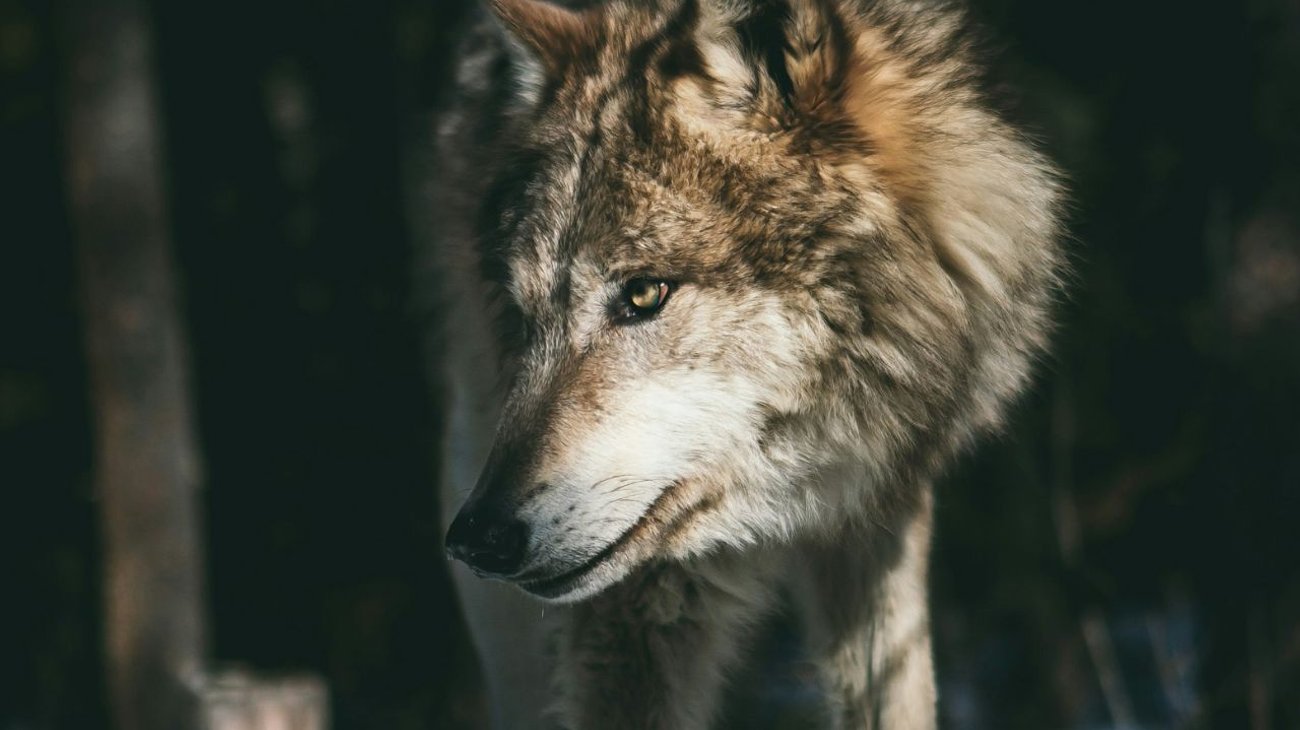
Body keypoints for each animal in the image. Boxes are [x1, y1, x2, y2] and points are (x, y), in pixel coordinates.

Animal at [418, 0, 1063, 726]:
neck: (783, 499)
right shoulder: (633, 607)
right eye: (524, 317)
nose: (477, 539)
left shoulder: (880, 520)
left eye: (644, 293)